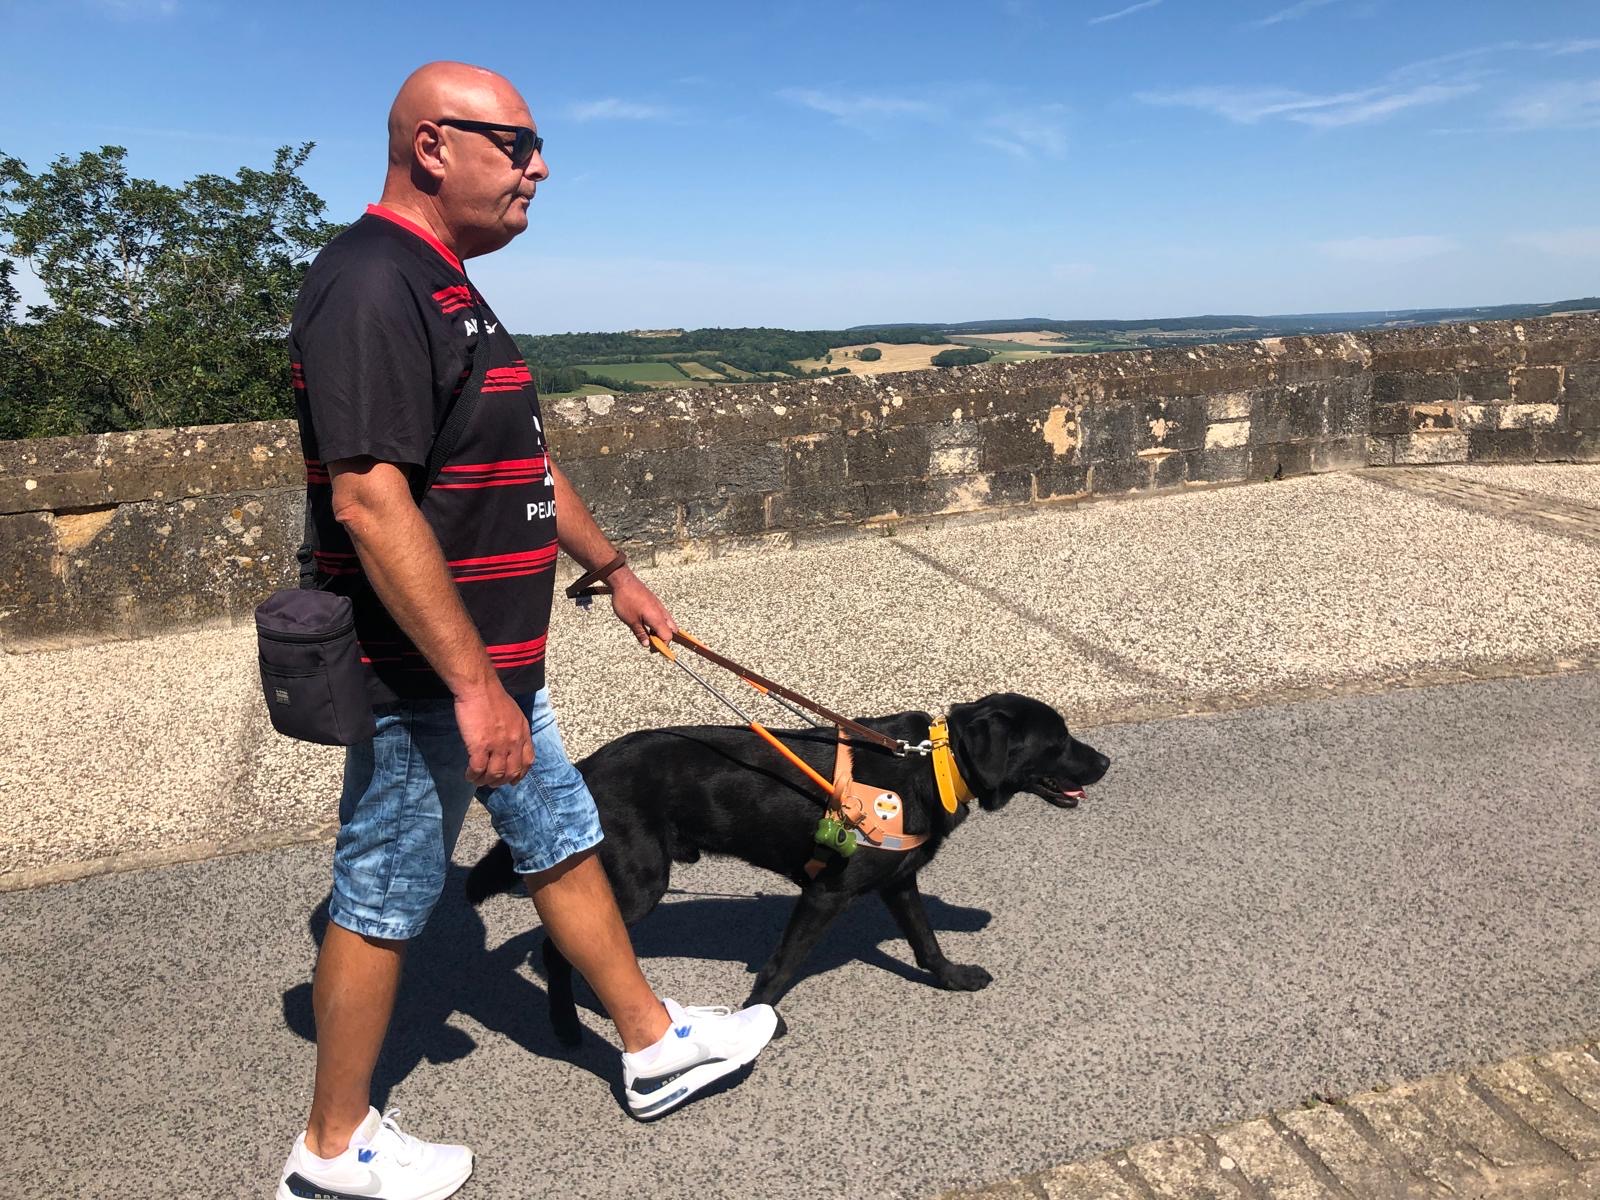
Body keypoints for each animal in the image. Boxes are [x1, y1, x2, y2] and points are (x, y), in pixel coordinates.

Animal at [467, 694, 1107, 1043]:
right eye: (1058, 741)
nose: (1104, 761)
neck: (932, 767)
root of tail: (585, 765)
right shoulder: (826, 894)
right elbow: (780, 968)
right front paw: (758, 1020)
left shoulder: (899, 882)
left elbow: (926, 942)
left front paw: (950, 978)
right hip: (640, 884)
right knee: (561, 948)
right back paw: (567, 1026)